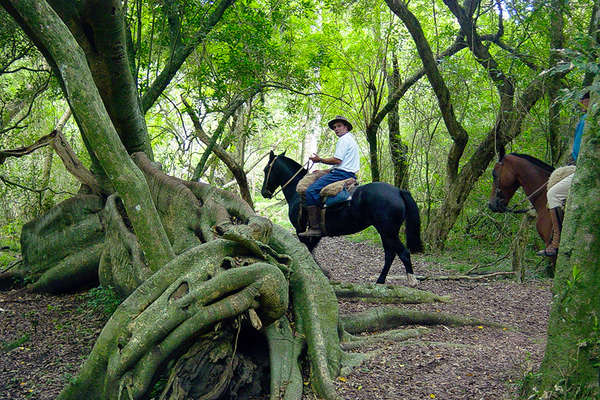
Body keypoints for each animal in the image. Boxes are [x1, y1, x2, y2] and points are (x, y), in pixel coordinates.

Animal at [260, 150, 424, 284]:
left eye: (266, 169)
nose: (264, 193)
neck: (296, 191)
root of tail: (398, 191)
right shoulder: (316, 233)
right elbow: (311, 250)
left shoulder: (301, 229)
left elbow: (308, 250)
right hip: (385, 231)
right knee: (390, 254)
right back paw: (380, 280)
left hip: (388, 231)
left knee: (403, 253)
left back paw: (411, 281)